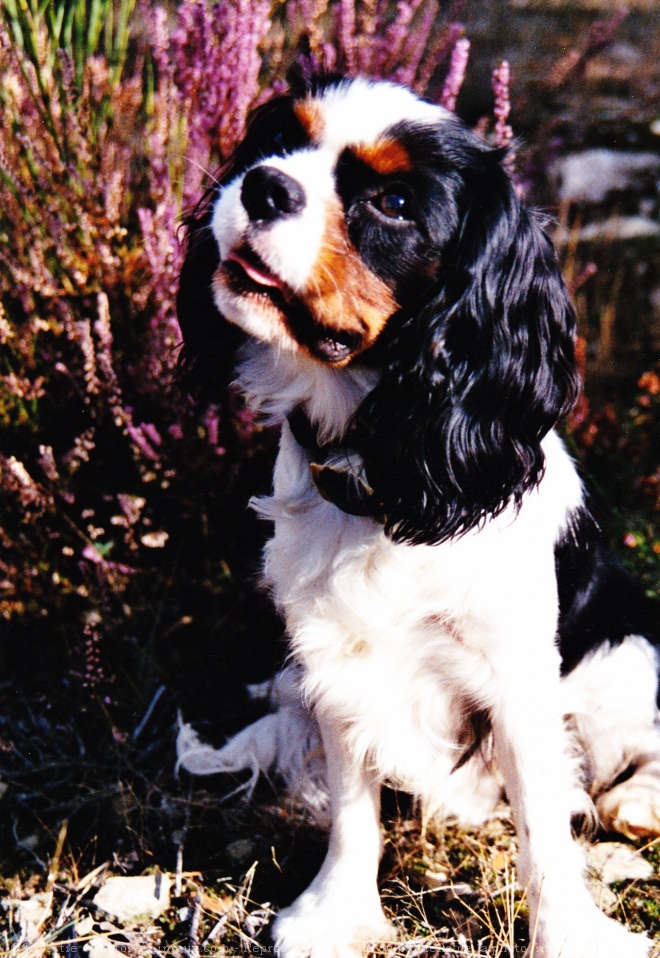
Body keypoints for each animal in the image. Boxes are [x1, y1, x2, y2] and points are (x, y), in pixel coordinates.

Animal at [175, 75, 660, 958]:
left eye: (394, 203)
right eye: (275, 140)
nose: (263, 185)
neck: (386, 473)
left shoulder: (517, 677)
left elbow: (543, 830)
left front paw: (568, 937)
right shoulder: (334, 657)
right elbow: (353, 808)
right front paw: (335, 912)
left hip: (625, 658)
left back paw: (637, 803)